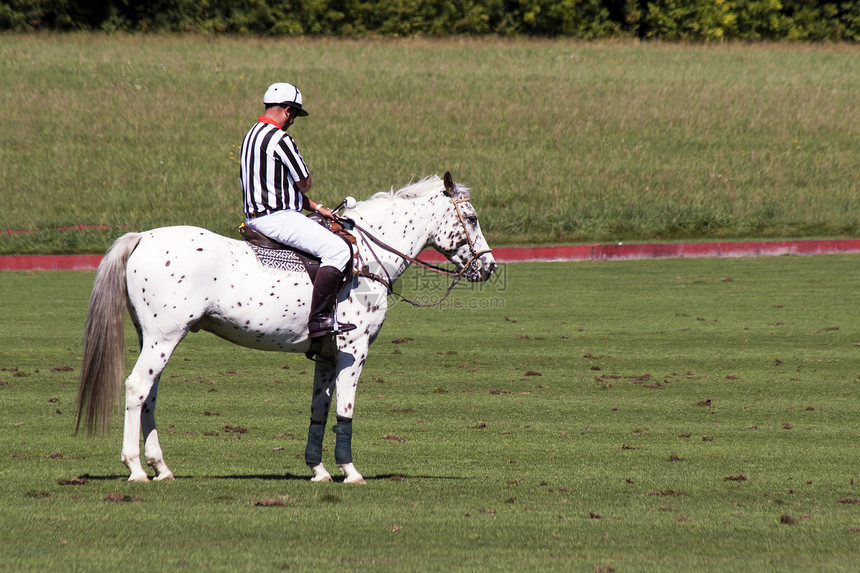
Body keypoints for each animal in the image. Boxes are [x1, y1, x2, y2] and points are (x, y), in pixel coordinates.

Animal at [76, 173, 494, 482]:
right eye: (472, 219)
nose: (488, 267)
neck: (367, 258)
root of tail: (142, 237)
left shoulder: (327, 354)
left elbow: (319, 409)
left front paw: (319, 469)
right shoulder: (354, 348)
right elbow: (345, 408)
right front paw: (350, 470)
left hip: (155, 338)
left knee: (150, 393)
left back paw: (161, 467)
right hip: (164, 337)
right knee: (136, 387)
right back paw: (135, 467)